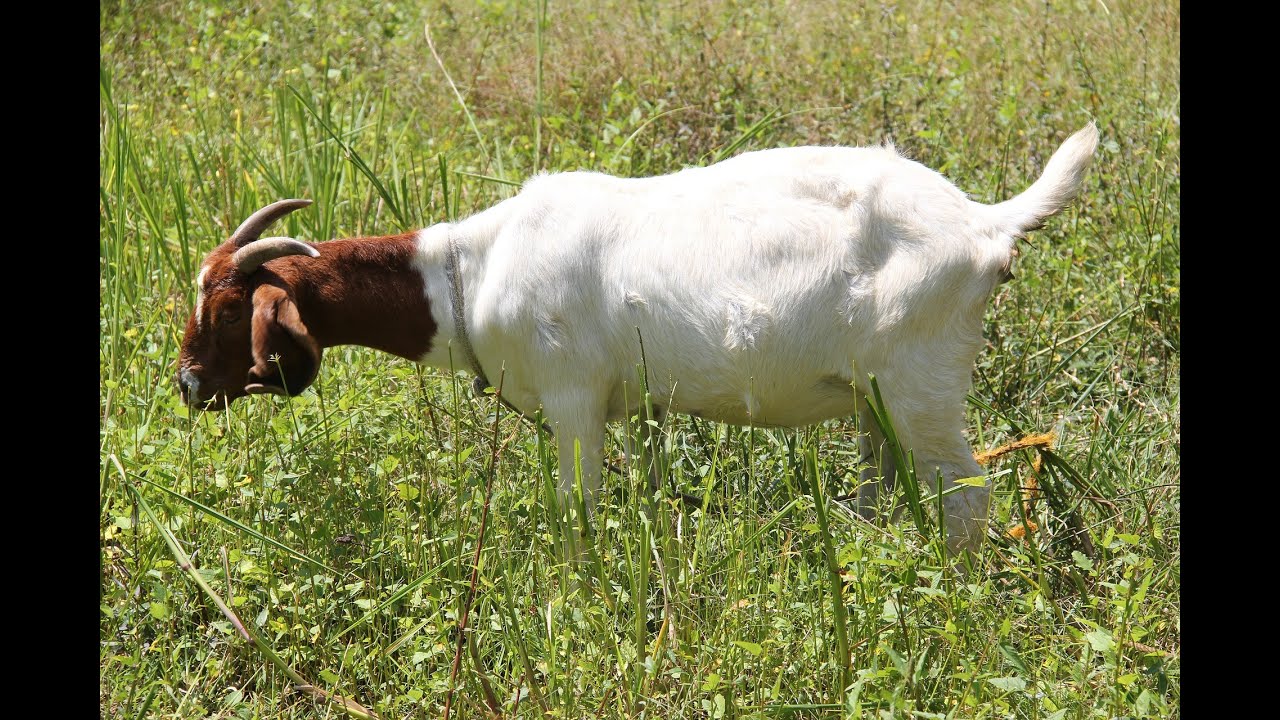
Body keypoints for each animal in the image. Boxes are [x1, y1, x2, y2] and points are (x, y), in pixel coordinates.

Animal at [177, 123, 1098, 554]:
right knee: (887, 490)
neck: (472, 268)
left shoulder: (573, 398)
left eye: (225, 308)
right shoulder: (646, 407)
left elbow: (577, 511)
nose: (186, 385)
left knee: (968, 502)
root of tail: (983, 222)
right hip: (876, 399)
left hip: (922, 384)